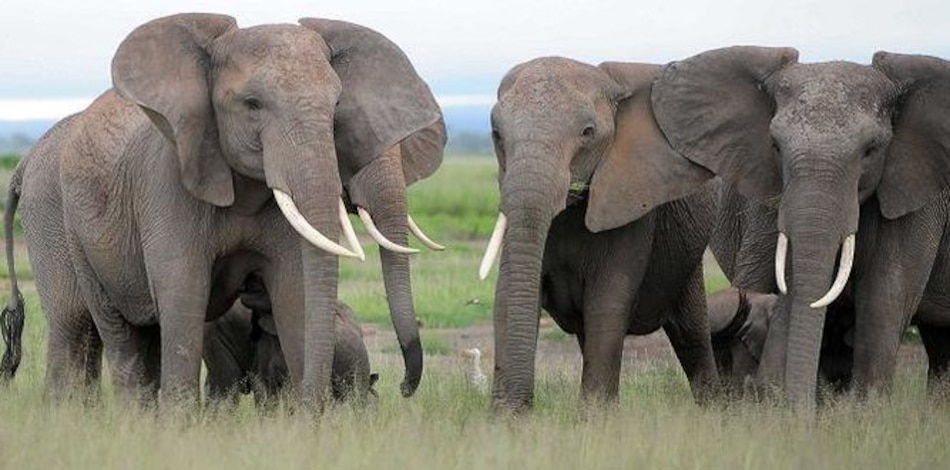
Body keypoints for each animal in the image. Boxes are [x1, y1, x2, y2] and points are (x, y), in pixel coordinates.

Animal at [480, 57, 720, 413]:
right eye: (496, 134)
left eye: (588, 133)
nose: (523, 406)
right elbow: (508, 294)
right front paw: (505, 418)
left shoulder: (631, 200)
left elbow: (607, 300)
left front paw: (595, 419)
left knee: (691, 334)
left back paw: (717, 409)